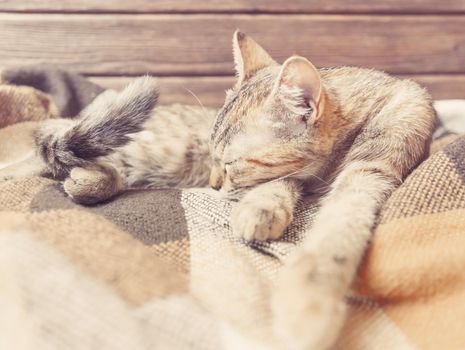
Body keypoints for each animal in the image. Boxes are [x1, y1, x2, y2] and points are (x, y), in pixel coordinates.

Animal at [2, 30, 436, 350]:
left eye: (230, 163)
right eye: (216, 157)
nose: (212, 183)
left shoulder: (370, 172)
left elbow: (335, 231)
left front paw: (306, 301)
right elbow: (284, 181)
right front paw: (263, 207)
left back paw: (89, 180)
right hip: (158, 149)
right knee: (36, 155)